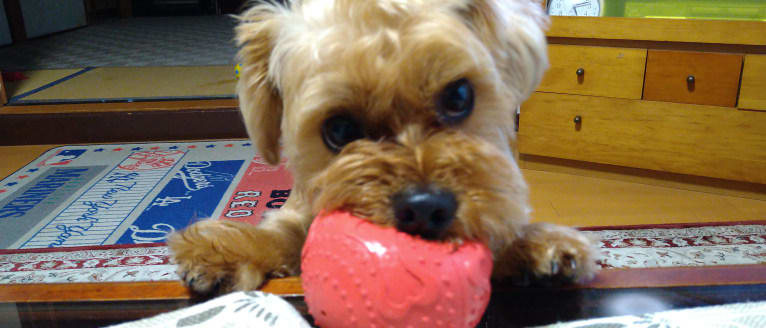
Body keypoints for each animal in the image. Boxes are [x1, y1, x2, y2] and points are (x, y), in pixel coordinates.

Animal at [168, 0, 600, 294]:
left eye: (459, 96)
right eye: (339, 129)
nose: (426, 207)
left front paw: (533, 245)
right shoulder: (298, 213)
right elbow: (284, 234)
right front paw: (227, 249)